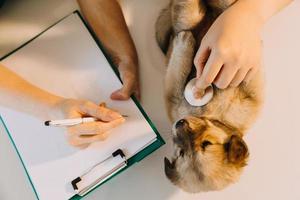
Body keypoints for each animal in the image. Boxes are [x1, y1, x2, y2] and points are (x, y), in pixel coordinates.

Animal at [156, 0, 264, 194]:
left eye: (206, 144)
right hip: (191, 17)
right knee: (191, 13)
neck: (211, 116)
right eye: (181, 152)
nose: (180, 123)